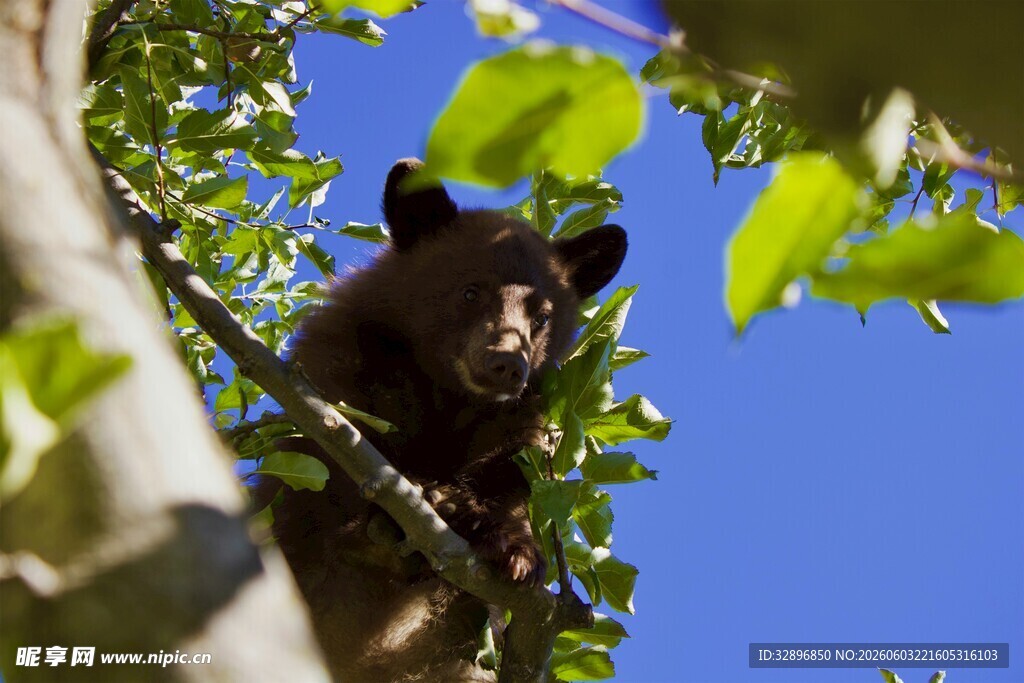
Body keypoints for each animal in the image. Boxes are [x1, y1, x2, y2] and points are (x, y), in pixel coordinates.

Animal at [270, 159, 627, 682]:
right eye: (471, 291)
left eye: (542, 316)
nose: (508, 364)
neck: (448, 396)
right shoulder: (338, 371)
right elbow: (337, 460)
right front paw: (421, 502)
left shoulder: (515, 421)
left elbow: (511, 473)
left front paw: (515, 549)